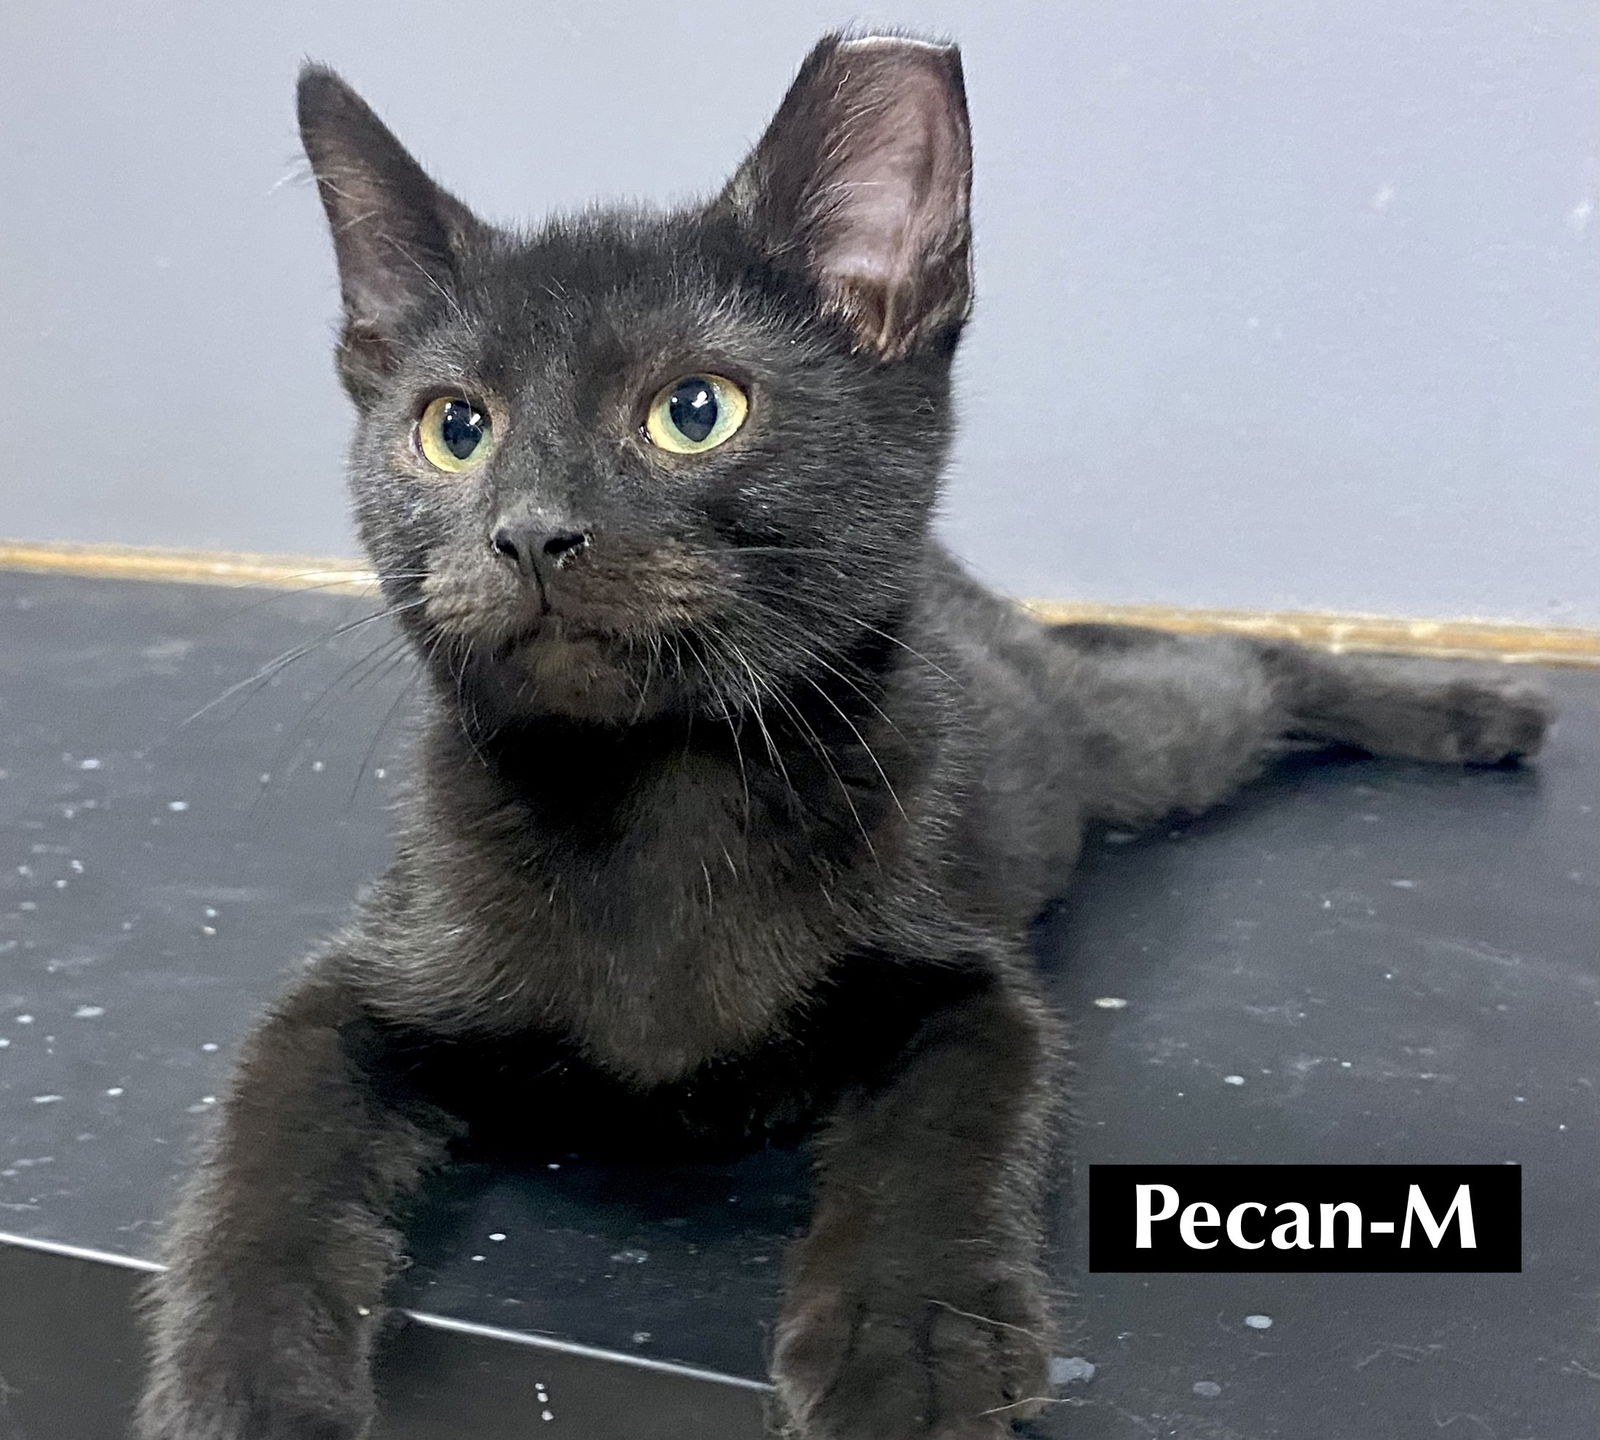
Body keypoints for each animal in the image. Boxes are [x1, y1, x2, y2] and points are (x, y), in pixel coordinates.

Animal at [134, 25, 1548, 1440]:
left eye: (695, 410)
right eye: (453, 428)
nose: (530, 531)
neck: (654, 792)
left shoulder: (968, 985)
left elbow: (940, 1142)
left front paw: (906, 1356)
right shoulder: (361, 985)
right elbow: (263, 1161)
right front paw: (241, 1382)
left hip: (1135, 757)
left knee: (1242, 670)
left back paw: (1472, 710)